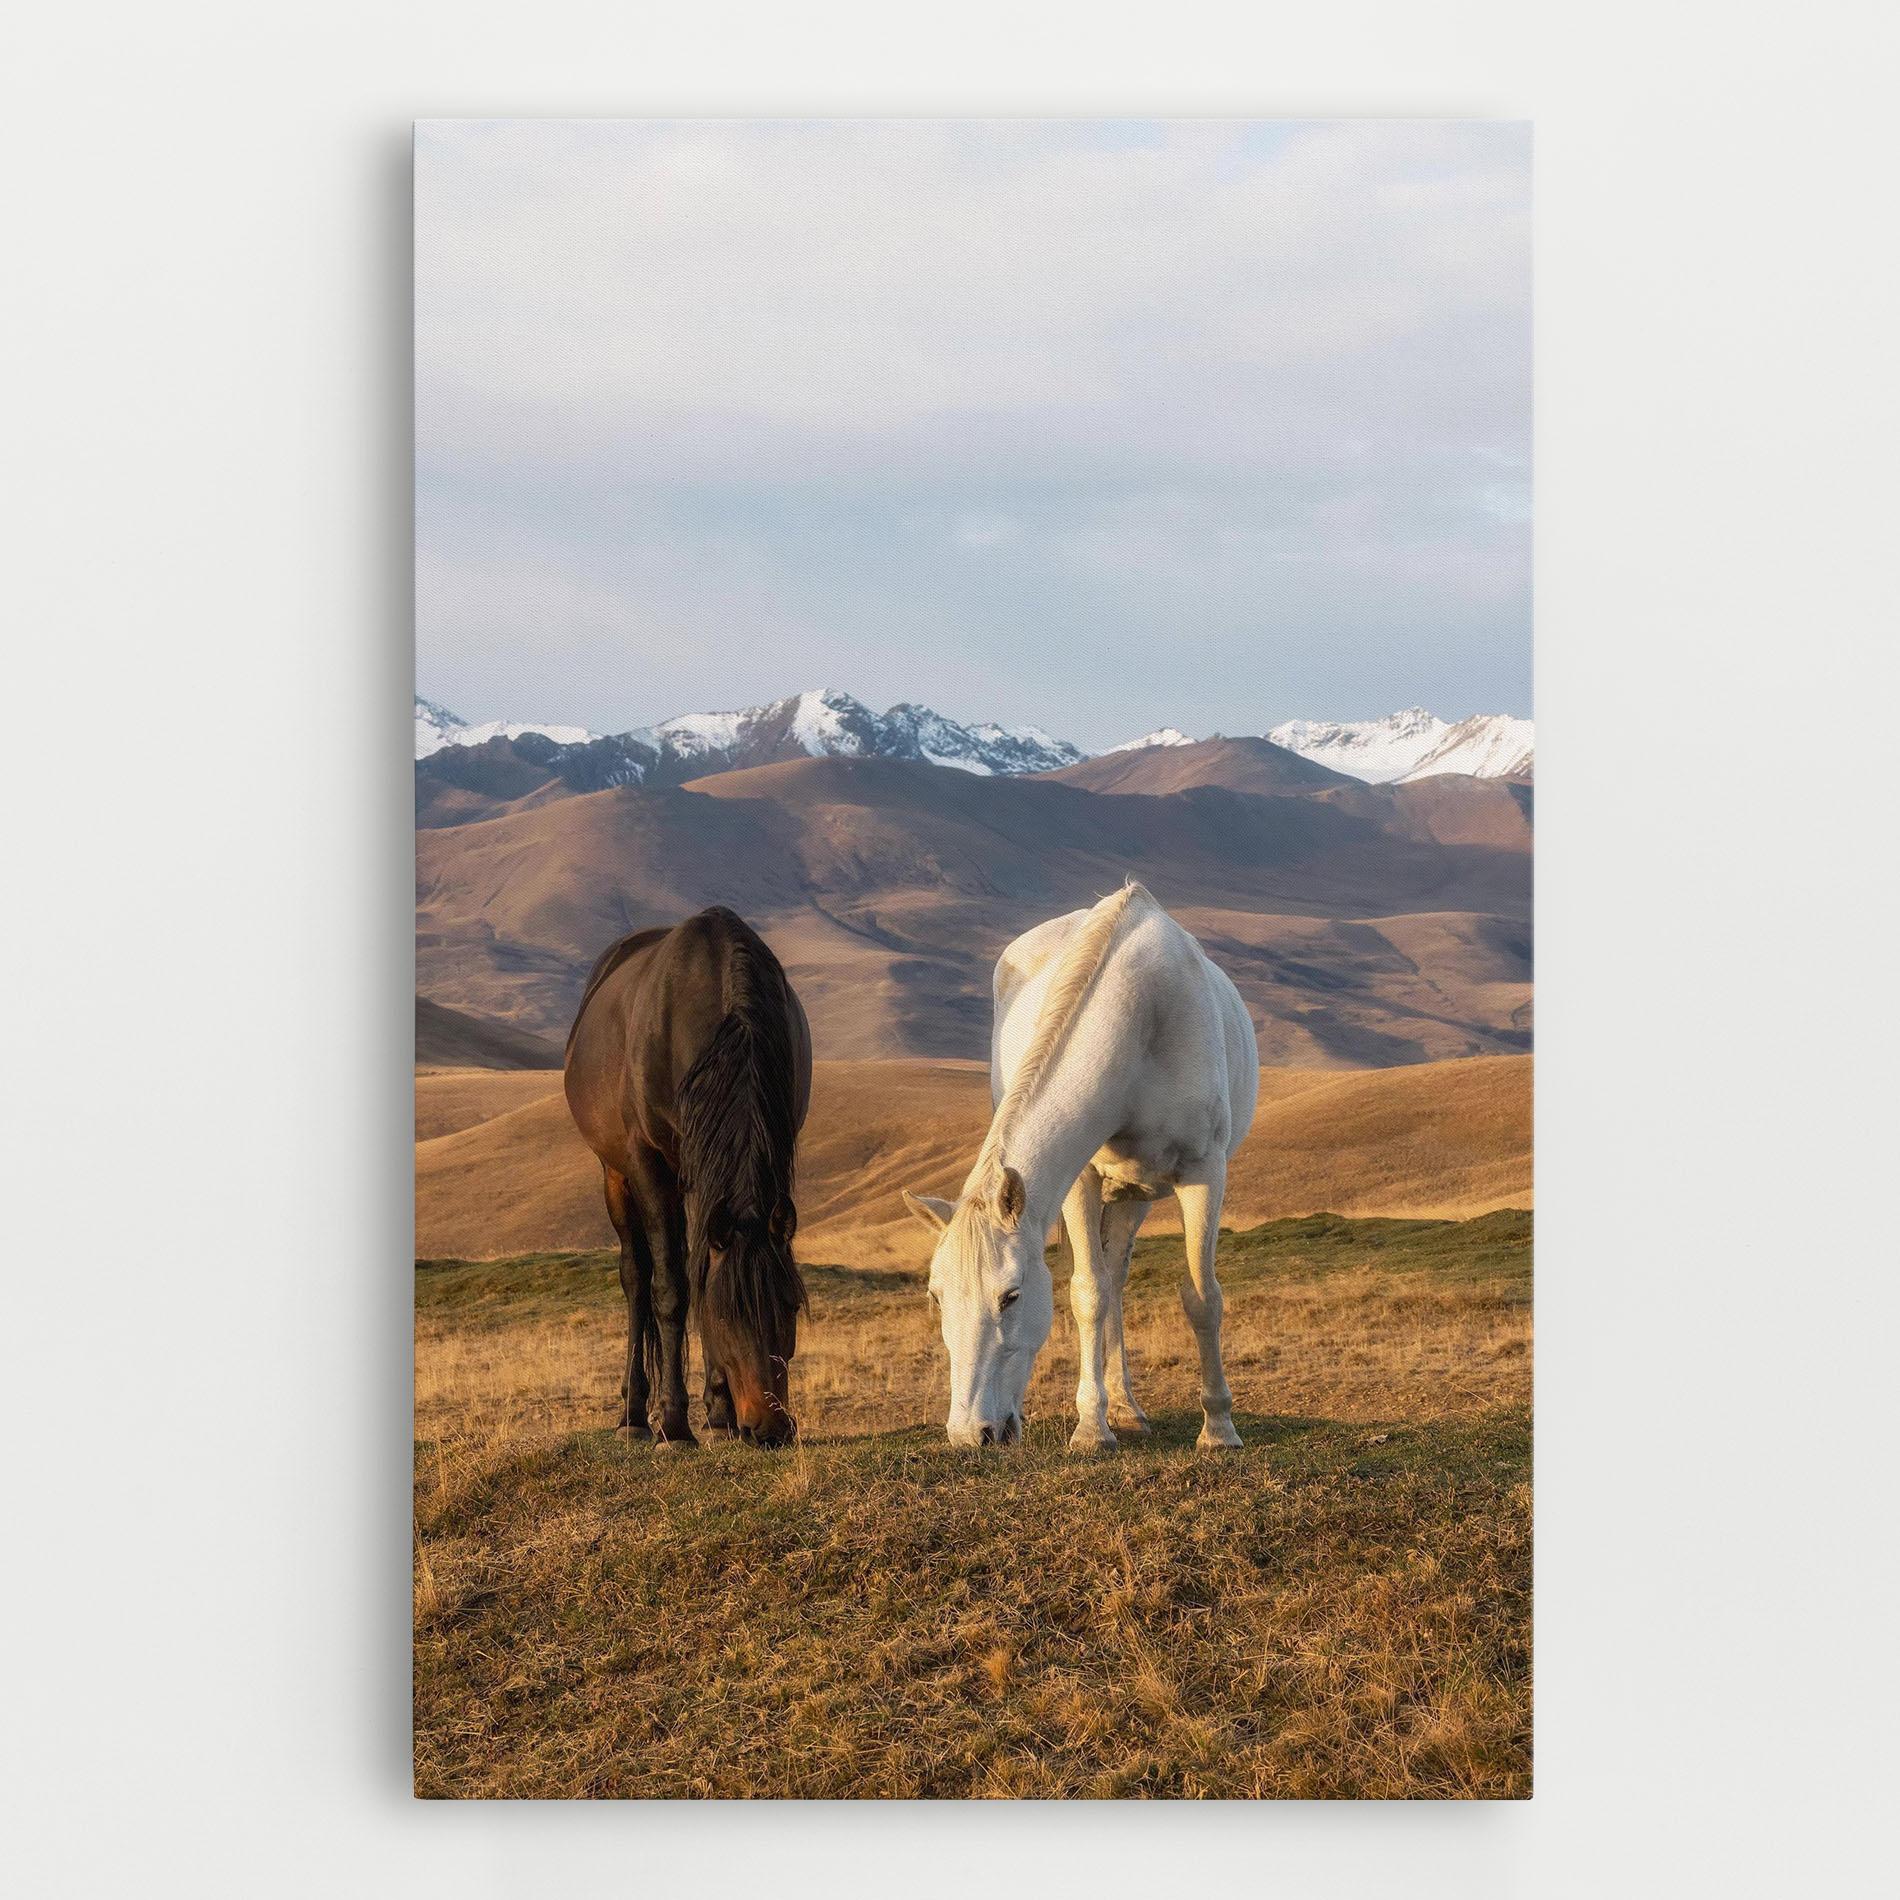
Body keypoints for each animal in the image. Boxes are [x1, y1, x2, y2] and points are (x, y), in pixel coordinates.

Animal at [564, 906, 812, 1447]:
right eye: (726, 1315)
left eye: (789, 1306)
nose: (770, 1428)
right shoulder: (648, 1163)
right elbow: (673, 1290)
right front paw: (676, 1424)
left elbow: (700, 1272)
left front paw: (719, 1415)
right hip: (616, 1174)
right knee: (637, 1279)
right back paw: (635, 1415)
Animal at [904, 881, 1259, 1453]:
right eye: (937, 1296)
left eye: (1011, 1296)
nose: (970, 1433)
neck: (1141, 1017)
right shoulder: (1081, 1181)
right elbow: (1087, 1293)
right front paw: (1092, 1427)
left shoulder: (1204, 1175)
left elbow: (1203, 1298)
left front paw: (1219, 1428)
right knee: (1105, 1284)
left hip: (1138, 1195)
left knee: (1120, 1278)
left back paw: (1132, 1409)